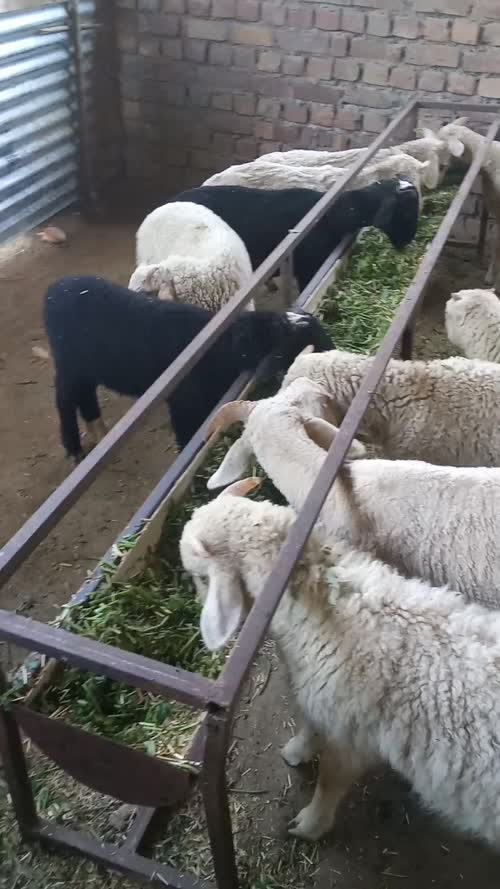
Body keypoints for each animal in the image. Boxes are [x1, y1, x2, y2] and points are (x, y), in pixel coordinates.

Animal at [42, 276, 333, 462]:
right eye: (295, 339)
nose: (332, 350)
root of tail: (57, 287)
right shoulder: (183, 400)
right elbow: (187, 434)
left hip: (86, 368)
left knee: (84, 395)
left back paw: (98, 428)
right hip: (69, 364)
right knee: (64, 399)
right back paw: (73, 446)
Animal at [180, 478, 500, 848]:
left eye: (199, 577)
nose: (195, 601)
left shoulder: (348, 733)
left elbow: (329, 780)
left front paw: (310, 823)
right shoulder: (324, 707)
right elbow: (308, 724)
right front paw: (297, 750)